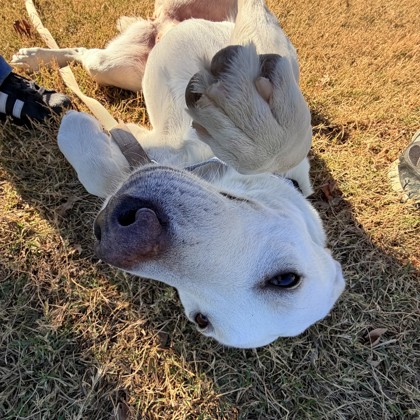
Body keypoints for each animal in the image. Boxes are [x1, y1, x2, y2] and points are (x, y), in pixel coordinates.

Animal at [13, 0, 345, 348]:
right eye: (286, 279)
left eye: (201, 320)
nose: (122, 237)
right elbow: (275, 142)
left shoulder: (140, 147)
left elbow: (106, 169)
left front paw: (77, 126)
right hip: (109, 66)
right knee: (81, 51)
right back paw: (34, 57)